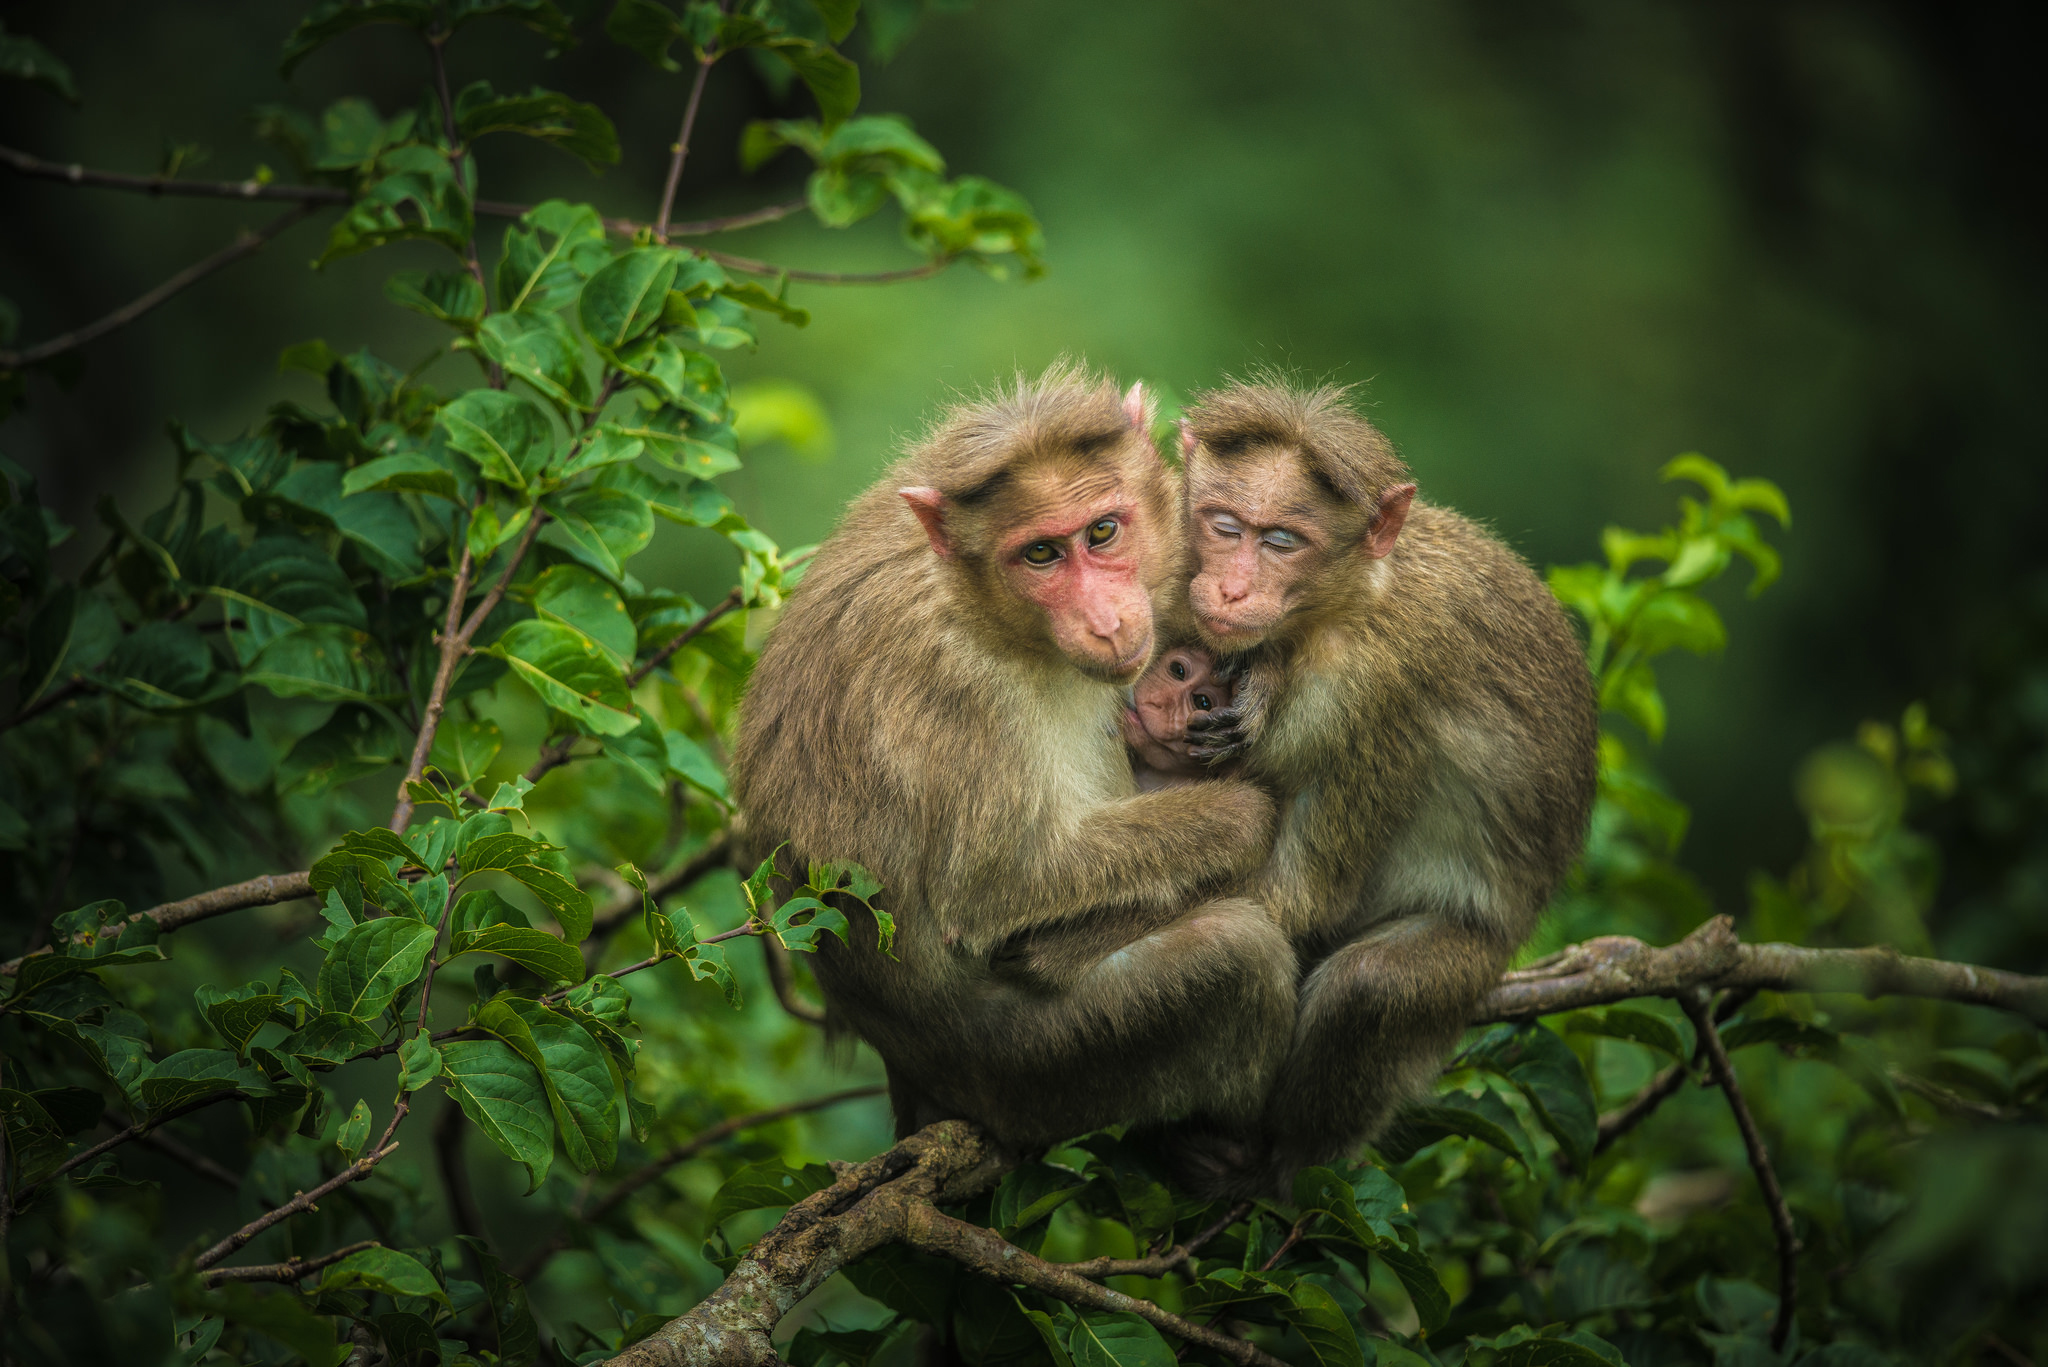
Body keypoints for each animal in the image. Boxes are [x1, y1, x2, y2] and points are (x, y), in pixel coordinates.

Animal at [1163, 379, 1605, 1188]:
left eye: (1282, 542)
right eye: (1225, 526)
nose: (1233, 589)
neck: (1337, 609)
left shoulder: (1375, 694)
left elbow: (1298, 898)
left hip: (1472, 958)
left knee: (1371, 986)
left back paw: (1277, 1166)